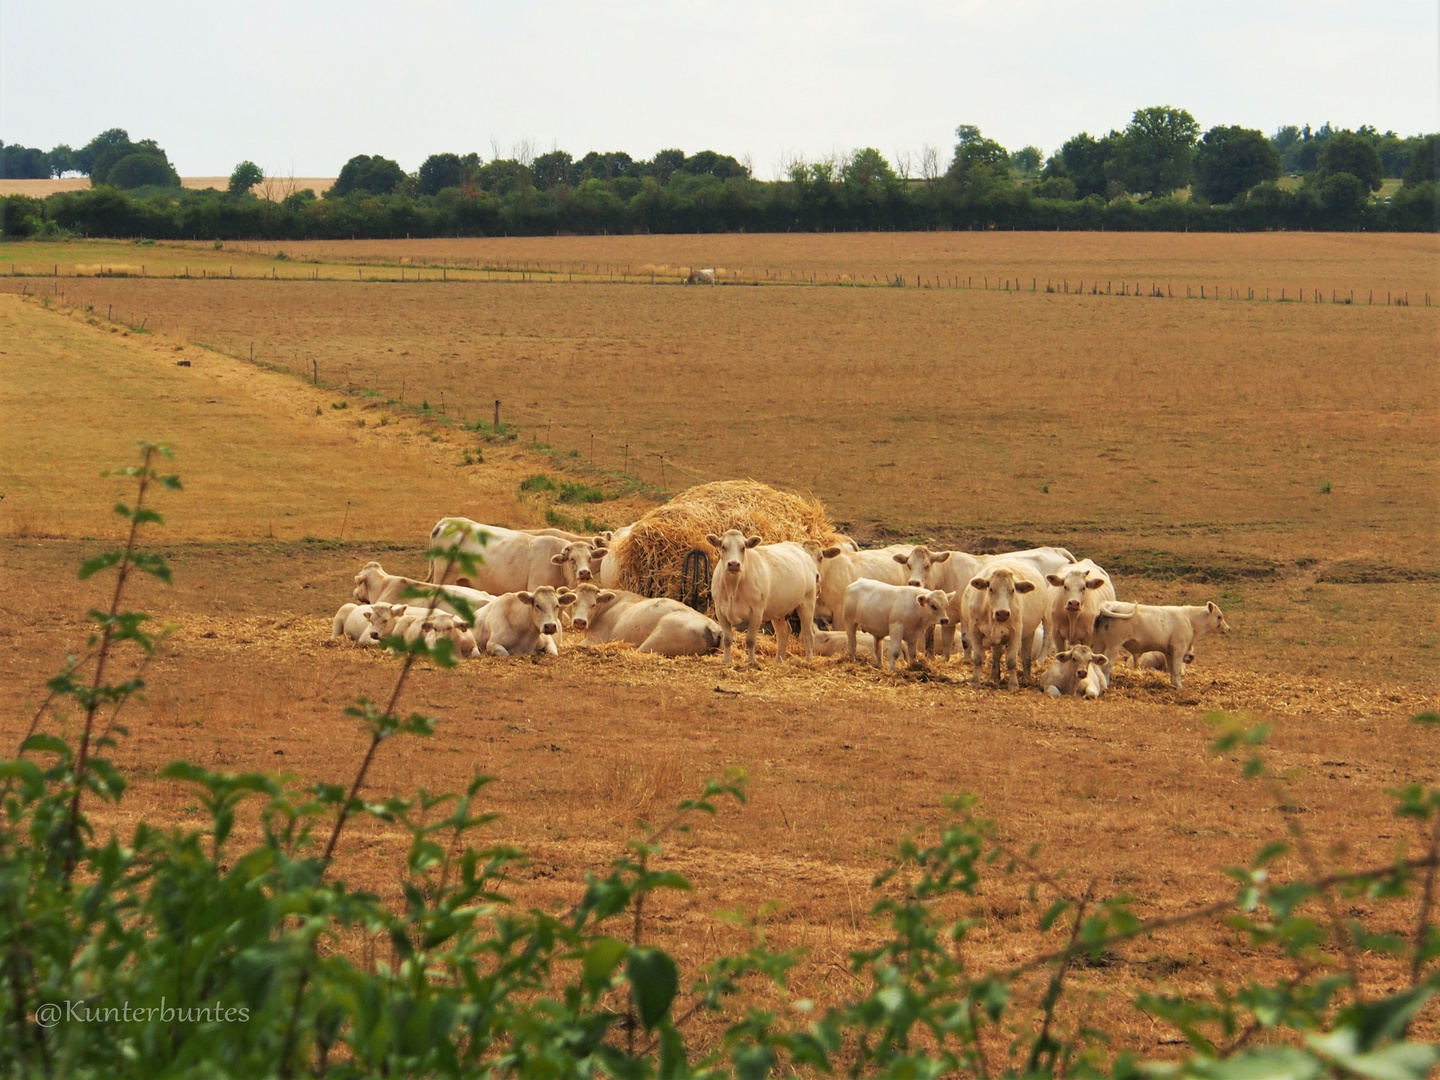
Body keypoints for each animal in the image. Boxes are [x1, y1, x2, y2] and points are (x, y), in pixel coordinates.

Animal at [561, 584, 720, 659]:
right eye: (574, 602)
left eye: (593, 604)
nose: (579, 621)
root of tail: (712, 627)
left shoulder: (594, 639)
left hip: (657, 637)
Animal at [708, 532, 823, 668]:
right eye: (723, 547)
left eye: (743, 547)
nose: (734, 564)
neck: (733, 587)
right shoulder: (720, 611)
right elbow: (727, 639)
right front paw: (726, 661)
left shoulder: (757, 611)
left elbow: (750, 639)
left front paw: (751, 661)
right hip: (779, 609)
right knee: (784, 632)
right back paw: (779, 660)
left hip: (807, 602)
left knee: (808, 633)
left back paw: (808, 660)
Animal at [1082, 601, 1232, 694]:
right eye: (1219, 616)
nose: (1228, 629)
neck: (1189, 619)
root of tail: (1109, 604)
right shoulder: (1179, 648)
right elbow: (1177, 669)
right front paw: (1179, 686)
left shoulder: (1169, 652)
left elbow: (1172, 669)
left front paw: (1173, 684)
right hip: (1113, 646)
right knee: (1107, 666)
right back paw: (1106, 684)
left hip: (1099, 644)